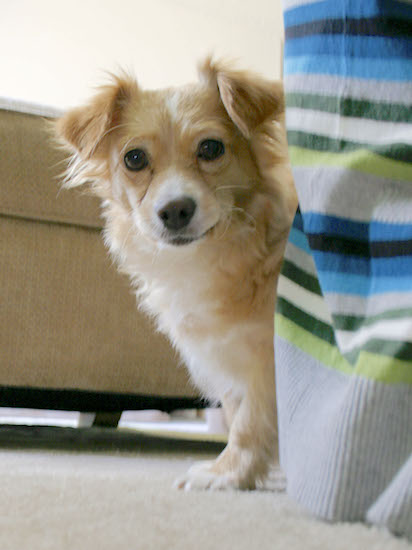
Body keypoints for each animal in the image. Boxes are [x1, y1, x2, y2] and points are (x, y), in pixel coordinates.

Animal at [54, 59, 298, 492]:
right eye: (134, 159)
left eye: (211, 148)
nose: (175, 210)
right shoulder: (226, 355)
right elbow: (238, 413)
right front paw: (247, 473)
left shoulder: (265, 358)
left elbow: (250, 422)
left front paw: (227, 474)